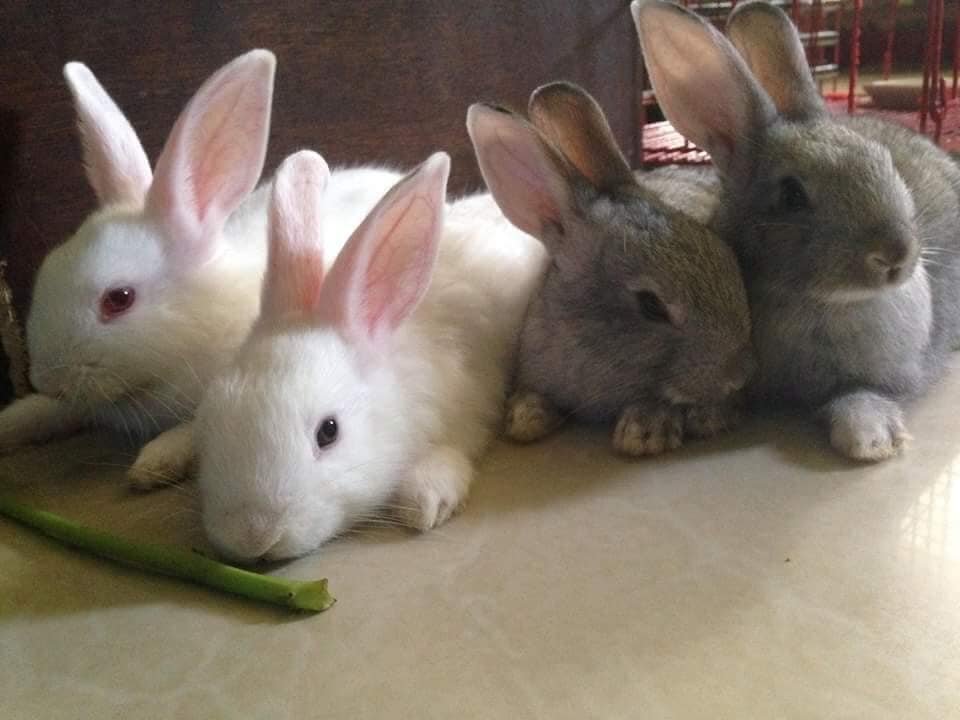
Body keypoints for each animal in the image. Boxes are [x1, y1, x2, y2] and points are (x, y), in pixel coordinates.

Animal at [632, 0, 960, 462]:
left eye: (883, 160)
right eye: (792, 195)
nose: (897, 254)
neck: (818, 301)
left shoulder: (889, 376)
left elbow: (861, 394)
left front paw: (869, 438)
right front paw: (697, 415)